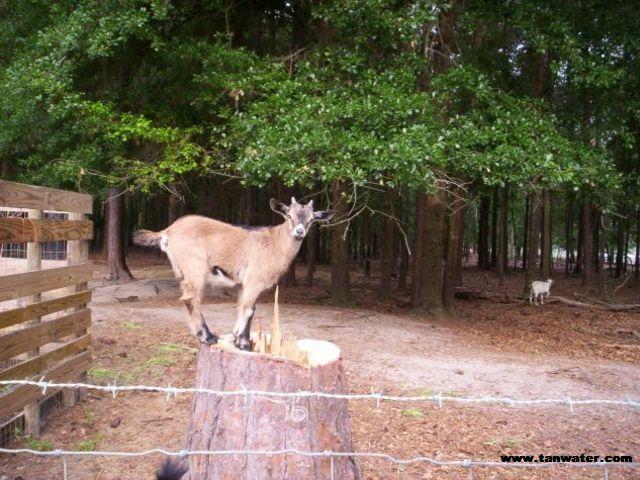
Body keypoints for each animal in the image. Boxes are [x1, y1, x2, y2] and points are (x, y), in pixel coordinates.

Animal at [135, 197, 336, 350]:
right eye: (289, 216)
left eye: (311, 219)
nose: (299, 232)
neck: (274, 243)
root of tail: (167, 232)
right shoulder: (254, 280)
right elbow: (248, 309)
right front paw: (242, 341)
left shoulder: (244, 283)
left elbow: (244, 307)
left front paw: (239, 339)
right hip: (195, 268)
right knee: (191, 299)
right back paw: (207, 337)